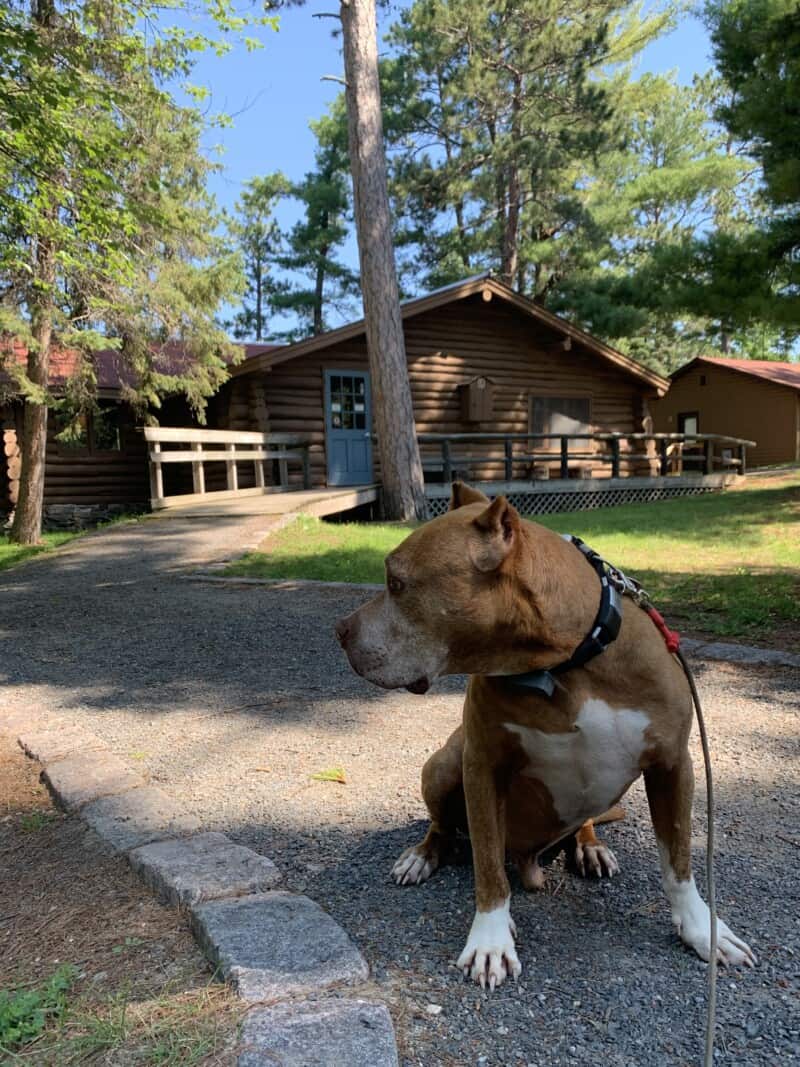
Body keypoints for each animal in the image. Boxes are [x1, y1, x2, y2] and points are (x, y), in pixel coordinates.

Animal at [332, 484, 759, 990]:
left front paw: (701, 930)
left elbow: (678, 861)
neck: (562, 663)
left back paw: (590, 848)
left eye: (396, 583)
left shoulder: (672, 765)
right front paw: (491, 941)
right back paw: (422, 856)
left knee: (586, 822)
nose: (340, 631)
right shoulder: (482, 764)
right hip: (441, 764)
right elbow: (488, 865)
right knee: (444, 825)